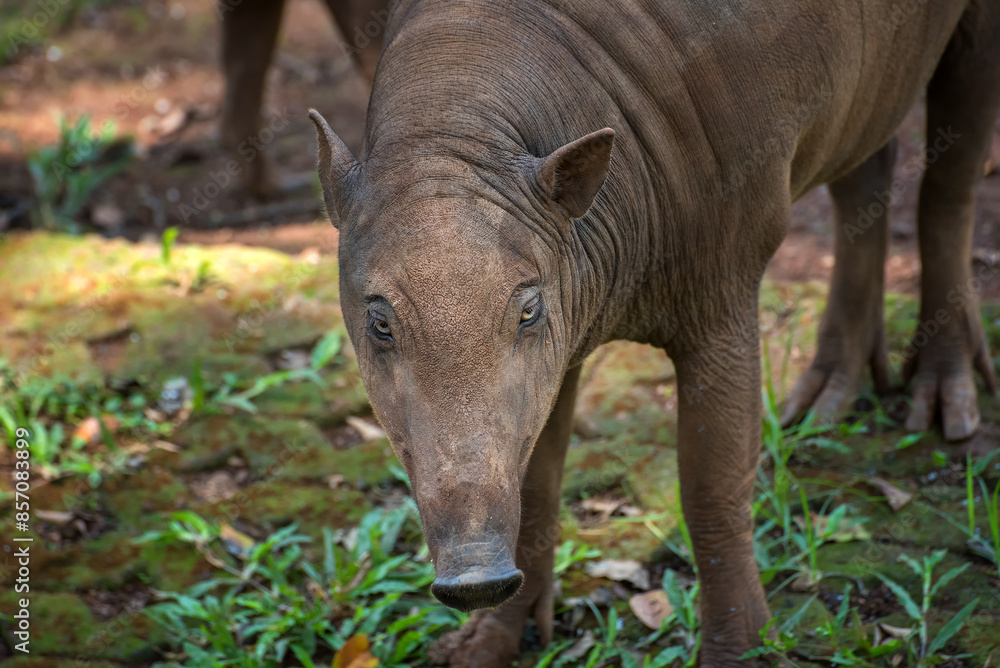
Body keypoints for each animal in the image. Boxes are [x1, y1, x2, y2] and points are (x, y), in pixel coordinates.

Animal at [308, 0, 1000, 665]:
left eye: (528, 310)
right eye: (379, 323)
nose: (476, 579)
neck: (458, 137)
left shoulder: (723, 272)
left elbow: (711, 484)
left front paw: (739, 655)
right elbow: (536, 479)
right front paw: (478, 651)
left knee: (950, 178)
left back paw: (945, 405)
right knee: (869, 166)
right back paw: (821, 404)